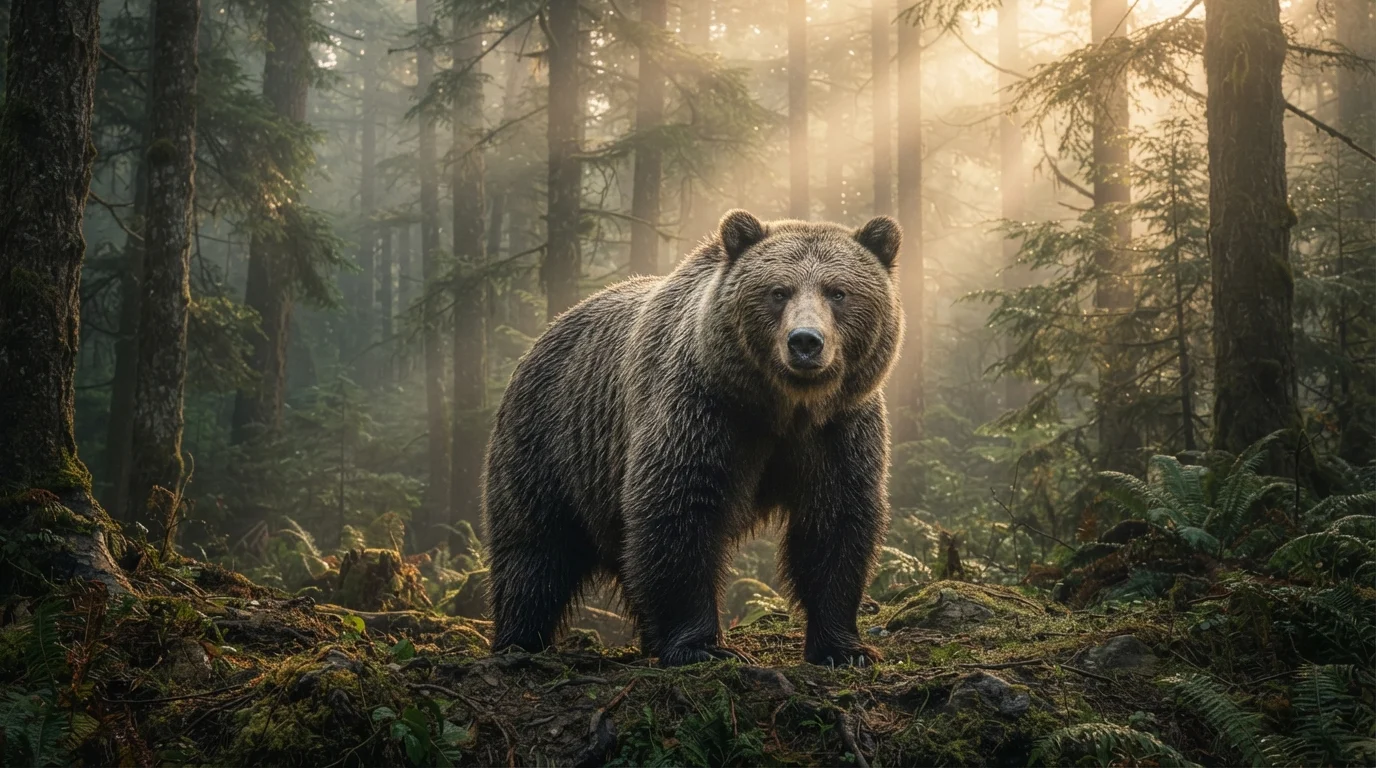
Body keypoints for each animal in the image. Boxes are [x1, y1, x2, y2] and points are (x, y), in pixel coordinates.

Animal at [483, 209, 904, 667]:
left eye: (838, 292)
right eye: (778, 291)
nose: (805, 341)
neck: (784, 406)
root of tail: (544, 335)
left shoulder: (838, 428)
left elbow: (836, 521)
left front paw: (844, 647)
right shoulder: (704, 410)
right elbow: (680, 510)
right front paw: (702, 645)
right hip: (552, 441)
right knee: (535, 549)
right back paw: (520, 639)